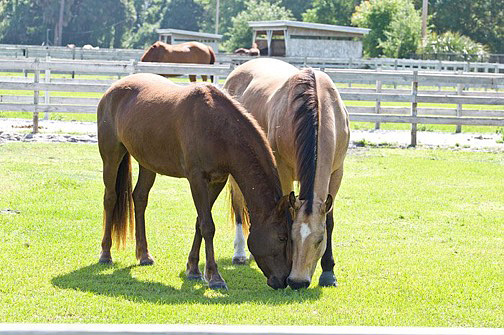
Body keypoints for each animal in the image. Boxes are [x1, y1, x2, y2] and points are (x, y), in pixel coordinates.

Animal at [98, 74, 294, 292]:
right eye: (282, 237)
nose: (284, 280)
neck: (217, 127)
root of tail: (113, 89)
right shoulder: (196, 179)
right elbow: (207, 226)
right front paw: (215, 277)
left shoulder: (217, 181)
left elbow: (199, 222)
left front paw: (193, 269)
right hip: (111, 155)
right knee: (110, 198)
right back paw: (105, 254)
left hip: (147, 163)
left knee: (139, 198)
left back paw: (144, 255)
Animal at [225, 57, 350, 288]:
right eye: (290, 238)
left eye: (320, 239)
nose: (298, 281)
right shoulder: (282, 169)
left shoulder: (337, 172)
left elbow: (329, 220)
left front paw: (328, 273)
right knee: (238, 206)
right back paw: (239, 253)